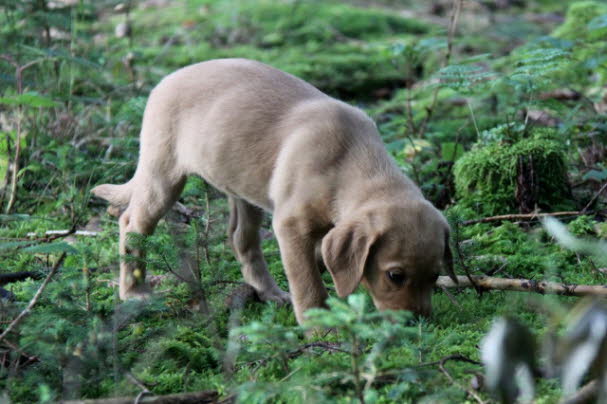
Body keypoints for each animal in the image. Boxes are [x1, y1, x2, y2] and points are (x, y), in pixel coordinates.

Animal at [92, 56, 456, 324]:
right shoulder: (291, 226)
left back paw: (269, 292)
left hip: (241, 185)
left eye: (436, 275)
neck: (350, 161)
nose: (419, 323)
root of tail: (165, 80)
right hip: (163, 173)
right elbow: (308, 283)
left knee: (241, 239)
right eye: (395, 275)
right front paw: (319, 328)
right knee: (133, 224)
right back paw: (134, 292)